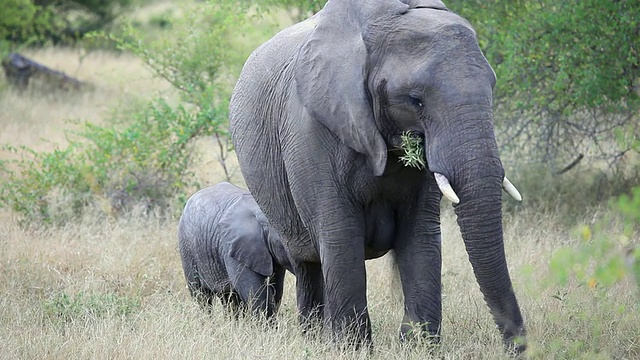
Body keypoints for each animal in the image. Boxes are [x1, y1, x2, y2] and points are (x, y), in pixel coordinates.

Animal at [178, 183, 292, 318]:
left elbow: (276, 288)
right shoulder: (233, 247)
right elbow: (254, 291)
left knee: (229, 298)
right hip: (187, 248)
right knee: (201, 296)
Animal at [230, 0, 524, 354]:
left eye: (492, 87)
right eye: (415, 99)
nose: (518, 348)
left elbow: (420, 236)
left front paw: (418, 348)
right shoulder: (310, 131)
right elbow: (341, 235)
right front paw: (352, 350)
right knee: (307, 263)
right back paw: (314, 337)